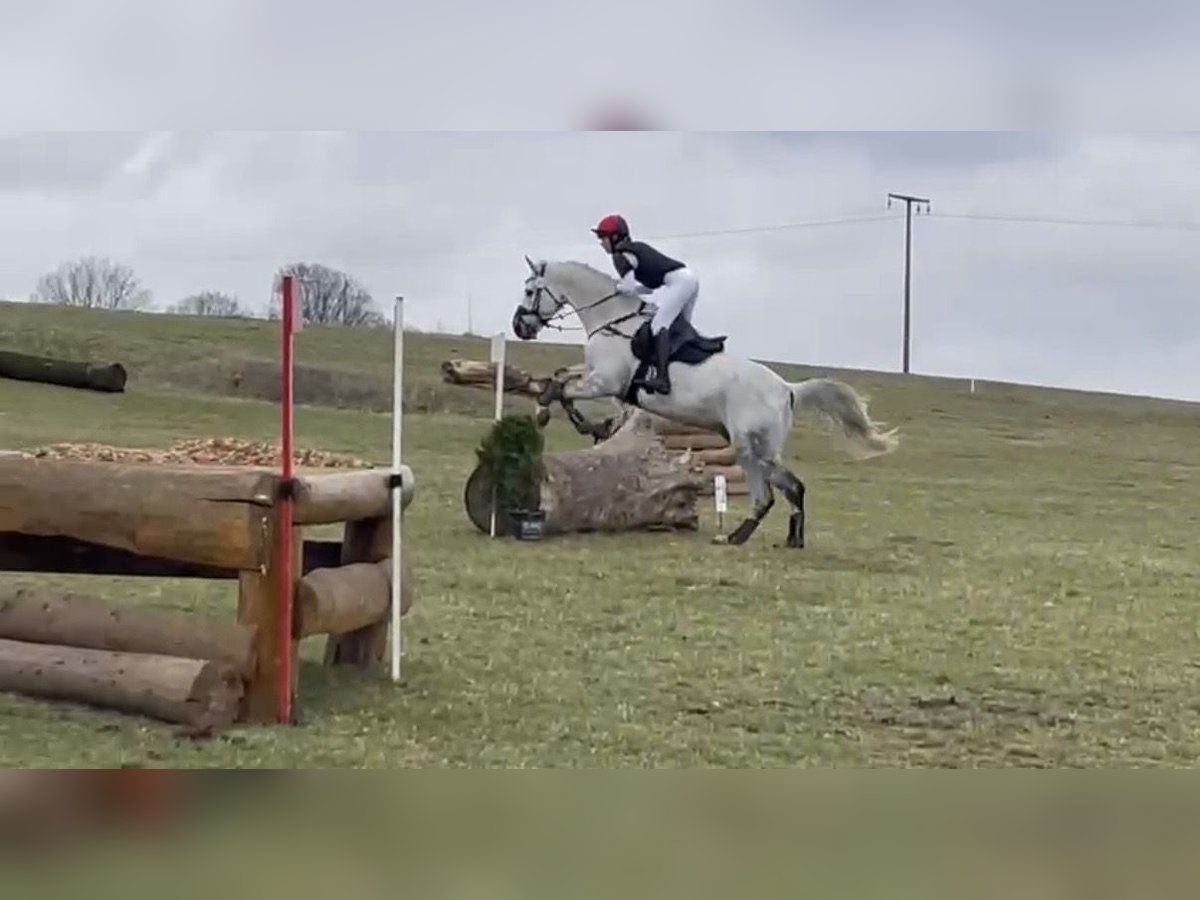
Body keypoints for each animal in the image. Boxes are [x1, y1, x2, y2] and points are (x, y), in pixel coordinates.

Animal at [511, 256, 900, 549]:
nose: (519, 327)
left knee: (773, 492)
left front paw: (547, 411)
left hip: (749, 444)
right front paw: (570, 416)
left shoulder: (605, 382)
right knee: (786, 488)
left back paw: (740, 536)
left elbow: (561, 389)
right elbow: (561, 377)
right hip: (757, 446)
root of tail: (787, 389)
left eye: (530, 290)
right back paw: (784, 539)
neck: (612, 321)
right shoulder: (597, 378)